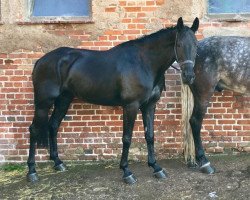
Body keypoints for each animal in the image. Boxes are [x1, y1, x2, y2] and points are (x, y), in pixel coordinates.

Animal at [26, 17, 199, 184]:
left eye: (196, 45)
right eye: (179, 44)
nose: (189, 76)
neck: (144, 63)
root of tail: (40, 61)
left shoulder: (149, 106)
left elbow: (150, 136)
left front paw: (156, 167)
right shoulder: (131, 106)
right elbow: (127, 138)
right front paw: (127, 172)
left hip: (64, 100)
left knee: (53, 125)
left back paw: (58, 163)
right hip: (43, 103)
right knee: (34, 129)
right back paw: (32, 171)